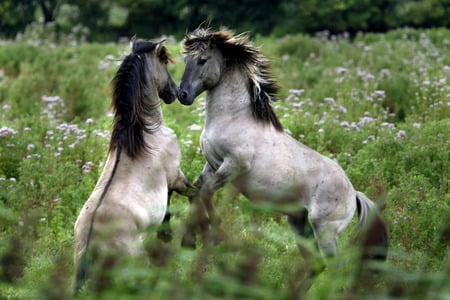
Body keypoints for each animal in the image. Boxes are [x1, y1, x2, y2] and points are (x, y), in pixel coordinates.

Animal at [73, 38, 194, 292]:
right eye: (164, 62)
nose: (175, 92)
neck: (146, 134)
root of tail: (90, 246)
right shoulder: (175, 177)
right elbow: (194, 194)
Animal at [176, 27, 386, 264]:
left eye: (202, 60)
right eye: (186, 59)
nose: (182, 94)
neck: (232, 119)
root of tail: (354, 193)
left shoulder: (234, 165)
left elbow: (205, 193)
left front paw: (216, 235)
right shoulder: (212, 164)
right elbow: (195, 192)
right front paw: (189, 240)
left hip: (325, 231)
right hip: (299, 223)